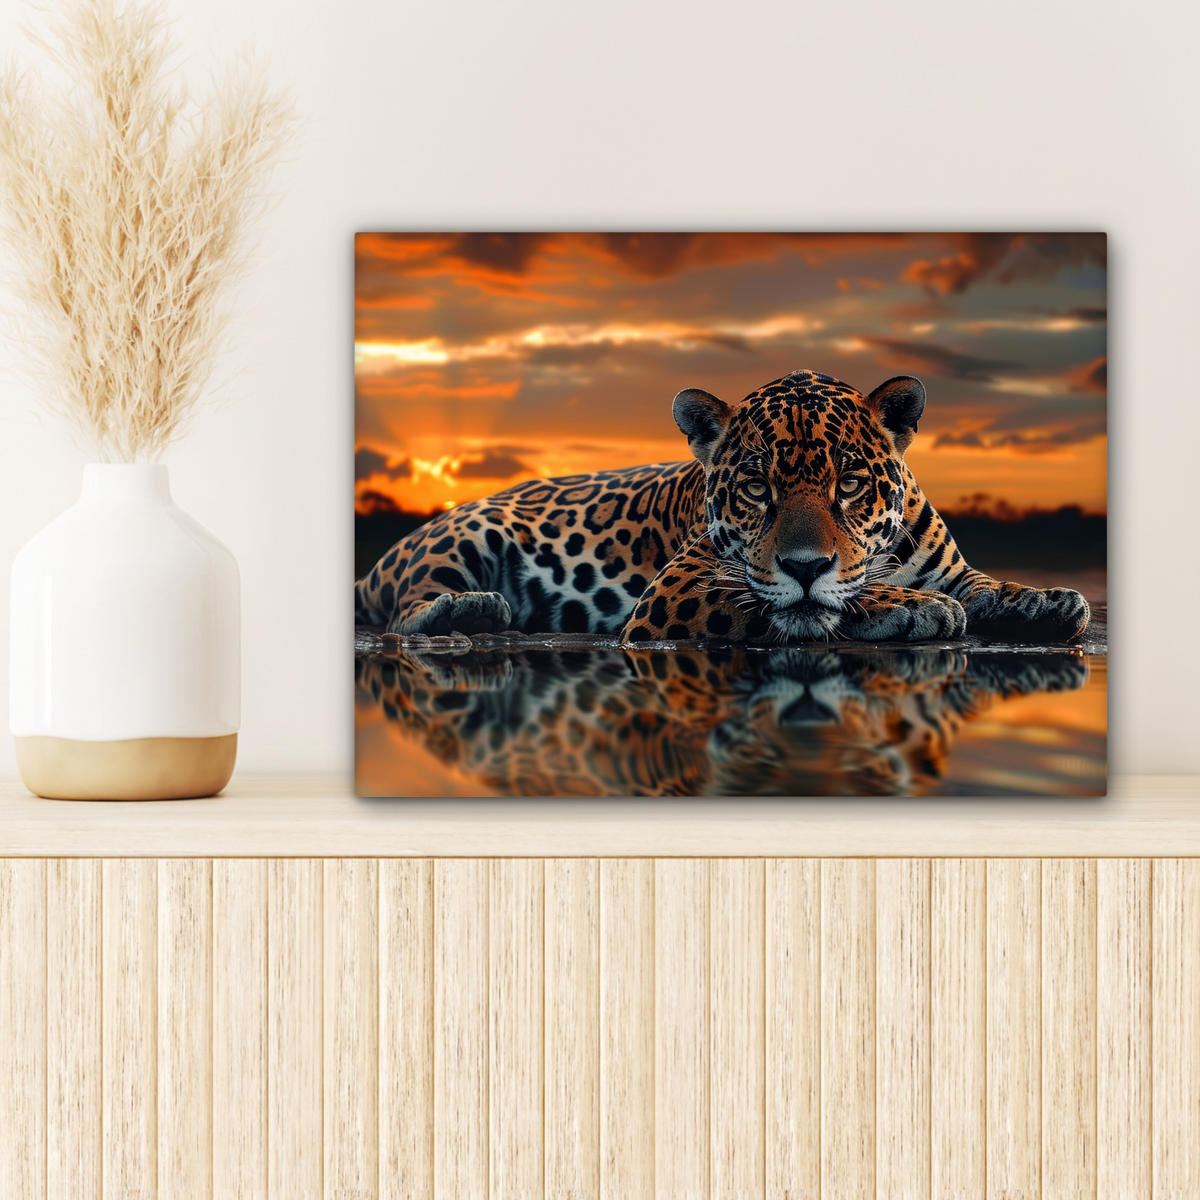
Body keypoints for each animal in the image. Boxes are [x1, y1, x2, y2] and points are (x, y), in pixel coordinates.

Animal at [355, 368, 1091, 645]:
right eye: (756, 488)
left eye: (850, 484)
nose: (804, 564)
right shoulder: (678, 589)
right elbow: (814, 601)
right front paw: (912, 608)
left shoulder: (951, 567)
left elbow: (987, 585)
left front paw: (1048, 600)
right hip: (463, 536)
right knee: (405, 608)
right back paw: (475, 608)